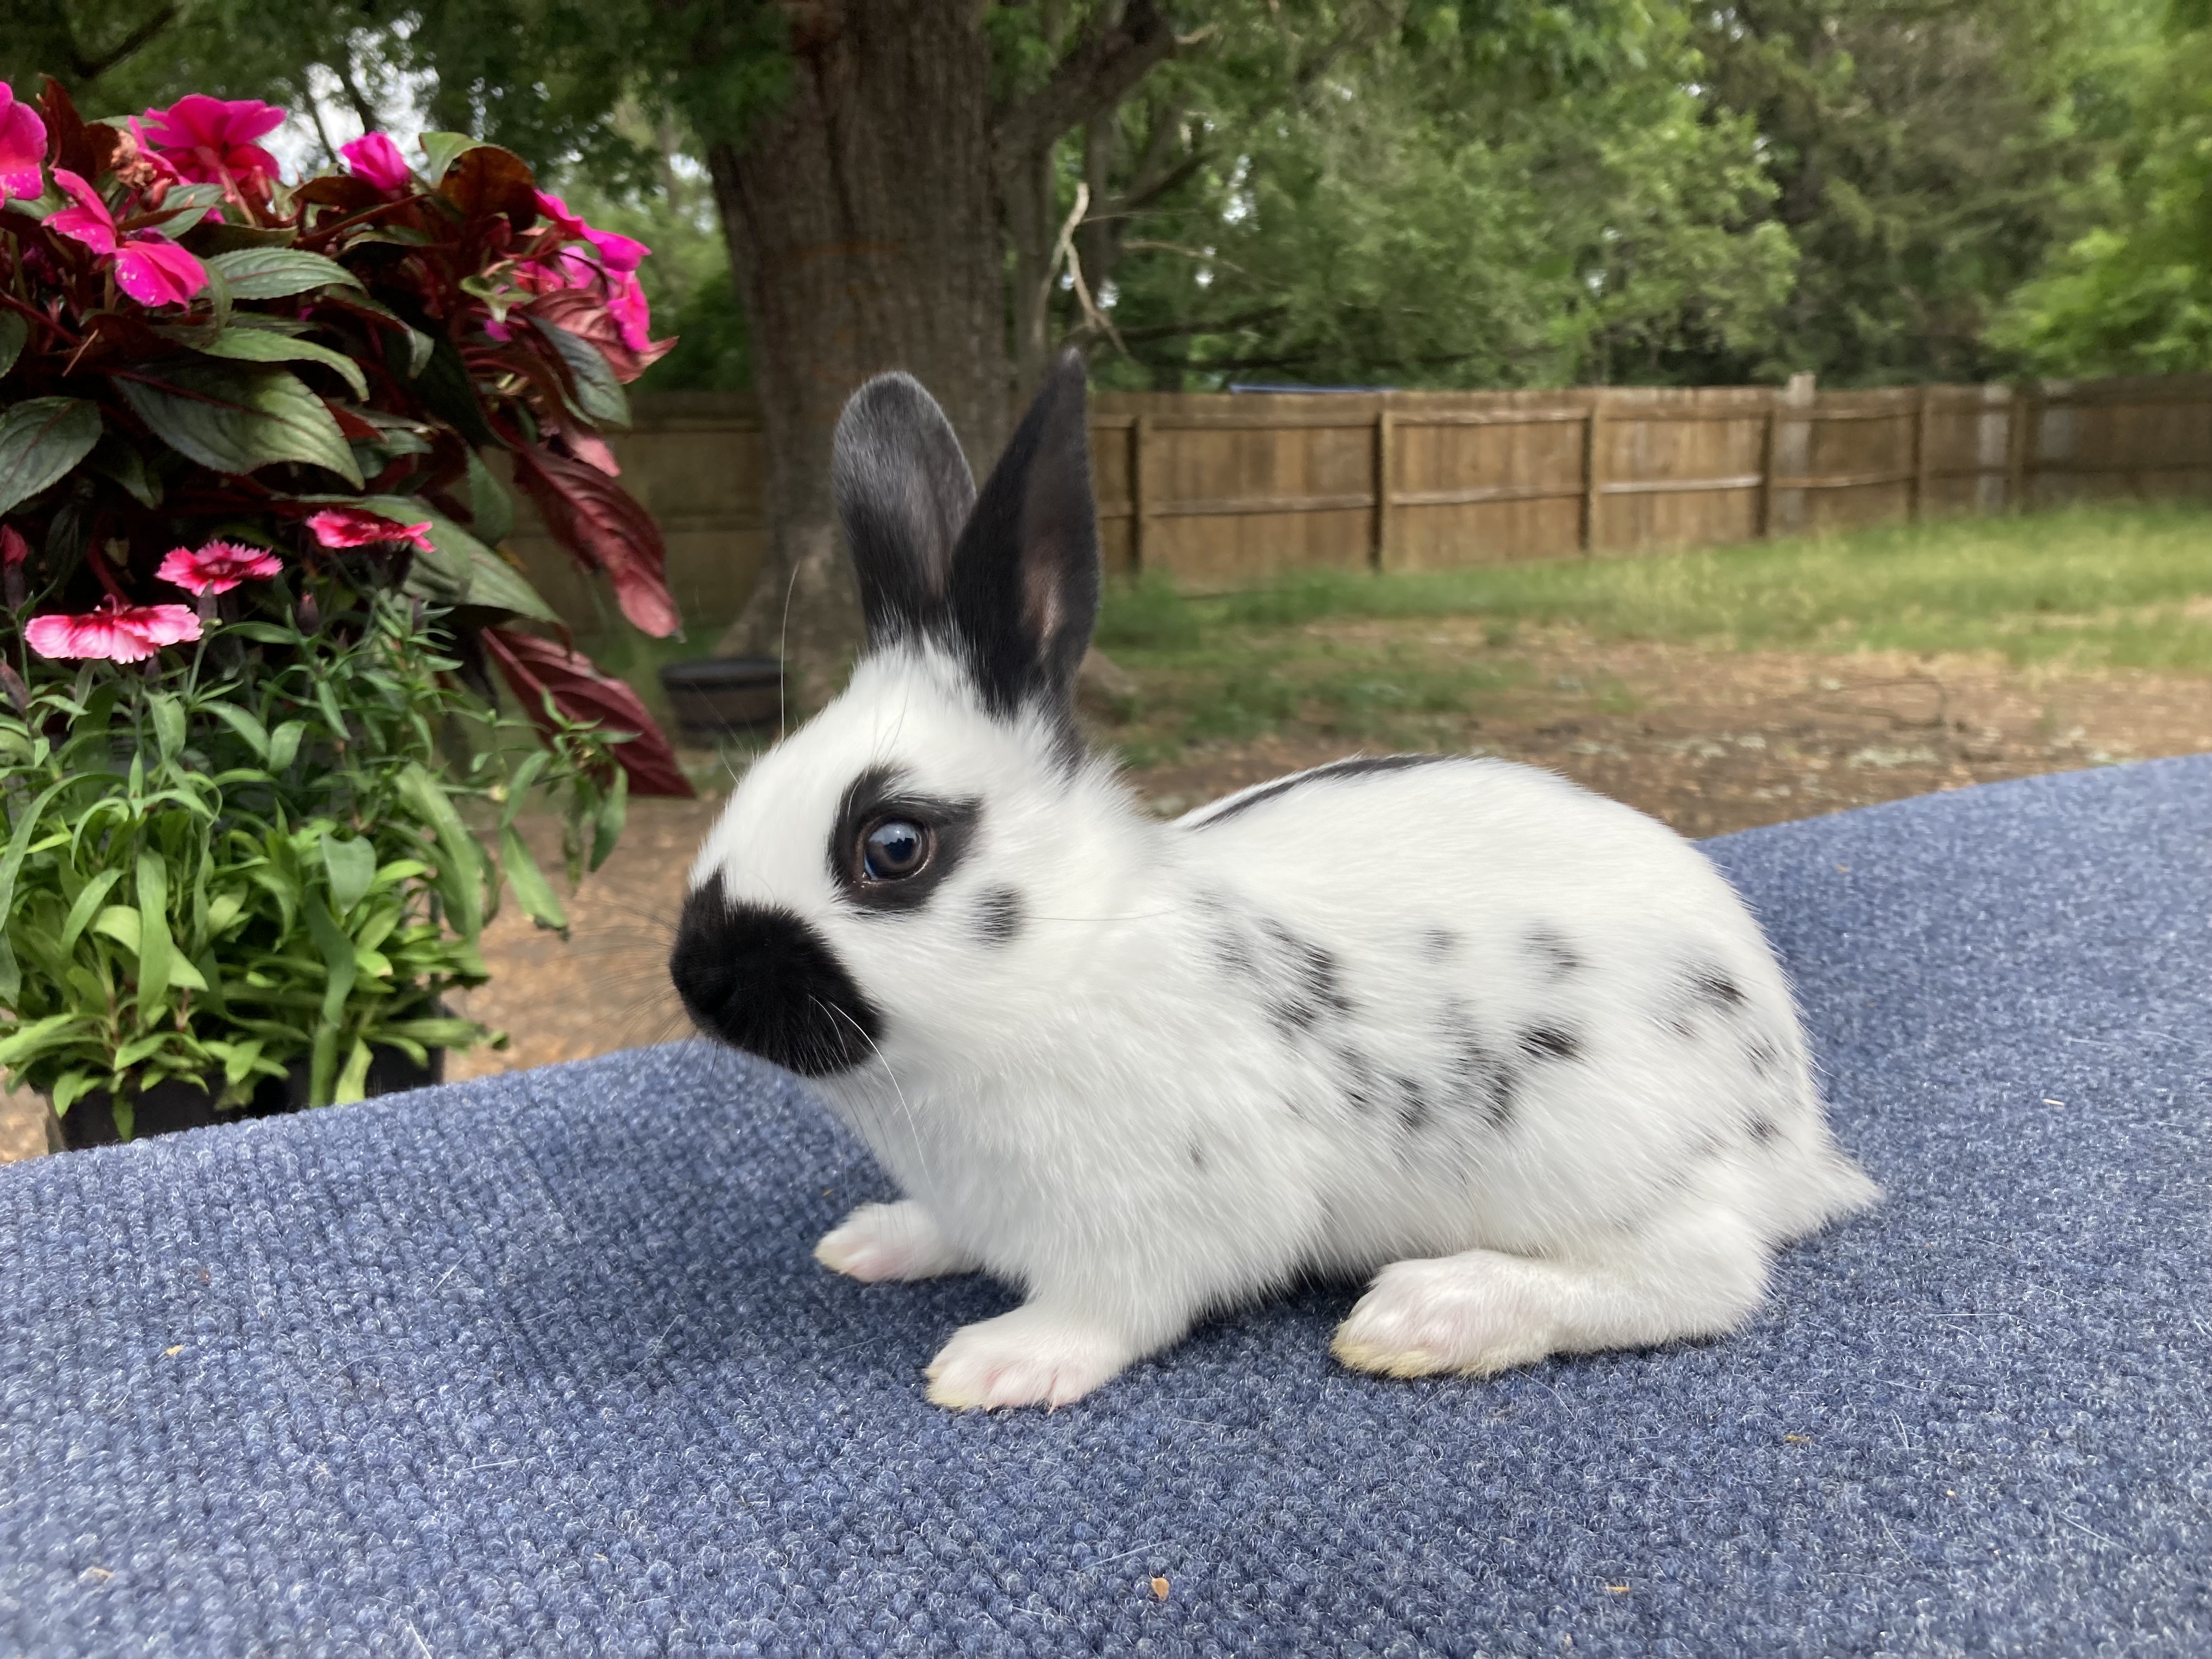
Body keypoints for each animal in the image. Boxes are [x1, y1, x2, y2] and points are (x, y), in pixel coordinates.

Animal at [670, 352, 1879, 1411]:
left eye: (893, 847)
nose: (698, 981)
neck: (1069, 956)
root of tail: (1791, 1130)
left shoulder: (1165, 1221)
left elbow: (1114, 1308)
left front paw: (999, 1363)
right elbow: (946, 1227)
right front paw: (873, 1241)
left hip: (1602, 1156)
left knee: (1704, 1277)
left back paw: (1431, 1315)